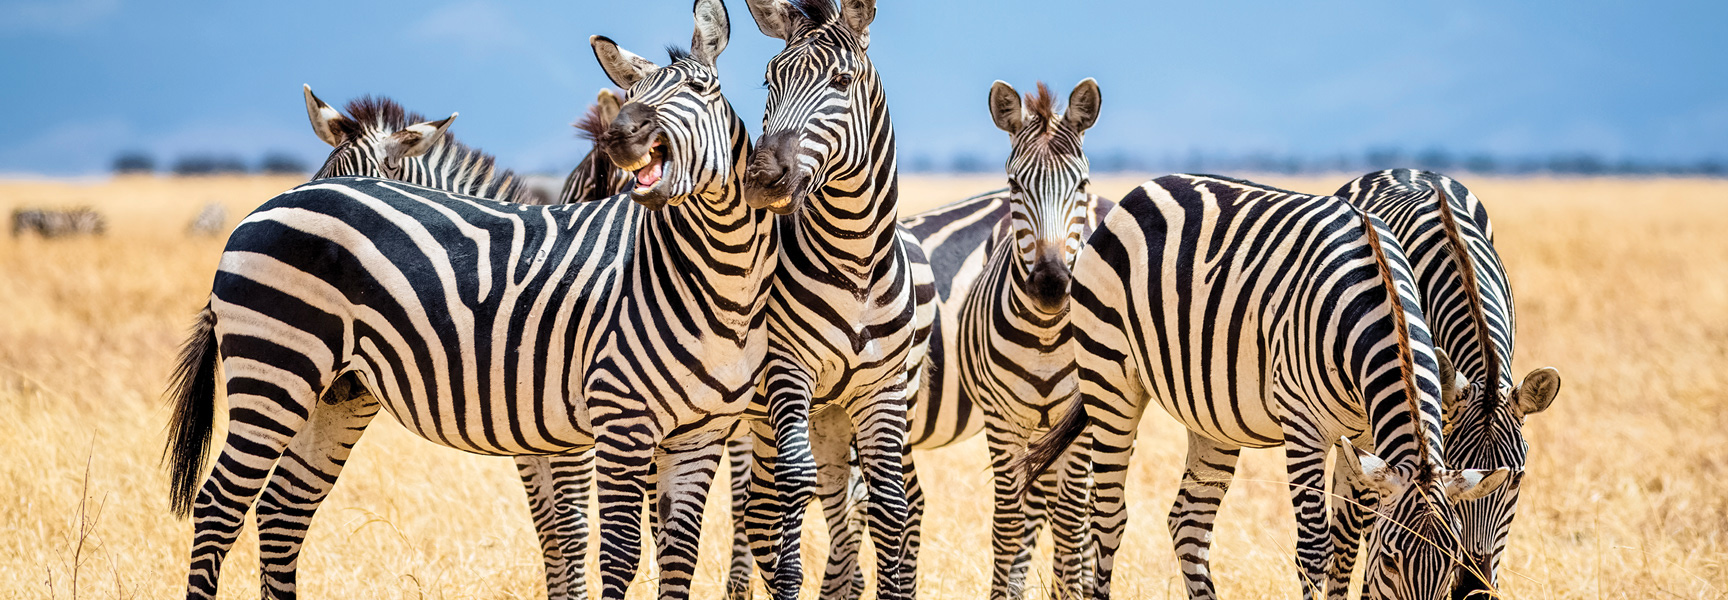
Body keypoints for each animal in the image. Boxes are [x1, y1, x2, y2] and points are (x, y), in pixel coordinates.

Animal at [161, 2, 778, 598]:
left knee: (282, 510)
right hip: (276, 368)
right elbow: (581, 539)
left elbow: (631, 545)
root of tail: (259, 212)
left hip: (336, 392)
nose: (625, 135)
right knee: (221, 504)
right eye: (633, 96)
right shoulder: (592, 427)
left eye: (701, 88)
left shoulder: (658, 431)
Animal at [731, 0, 925, 598]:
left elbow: (889, 505)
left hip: (828, 418)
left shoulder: (882, 388)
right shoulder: (786, 370)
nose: (763, 179)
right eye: (769, 81)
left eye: (841, 81)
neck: (856, 261)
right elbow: (795, 487)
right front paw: (790, 580)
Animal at [1016, 174, 1512, 600]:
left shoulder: (1366, 437)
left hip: (1210, 415)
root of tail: (1143, 189)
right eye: (1391, 561)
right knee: (1108, 517)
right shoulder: (1304, 427)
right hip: (1110, 379)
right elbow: (1316, 549)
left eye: (1451, 564)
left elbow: (1351, 541)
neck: (1377, 298)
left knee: (1189, 523)